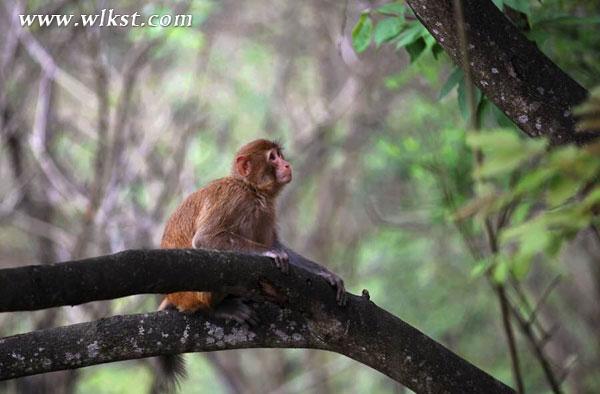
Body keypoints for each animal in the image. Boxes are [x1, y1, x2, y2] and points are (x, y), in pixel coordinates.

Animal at [154, 139, 346, 390]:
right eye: (272, 158)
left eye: (280, 155)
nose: (286, 164)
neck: (250, 189)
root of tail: (174, 297)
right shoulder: (234, 197)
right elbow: (205, 238)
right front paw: (269, 252)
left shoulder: (263, 206)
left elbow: (277, 243)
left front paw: (325, 274)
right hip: (192, 295)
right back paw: (219, 308)